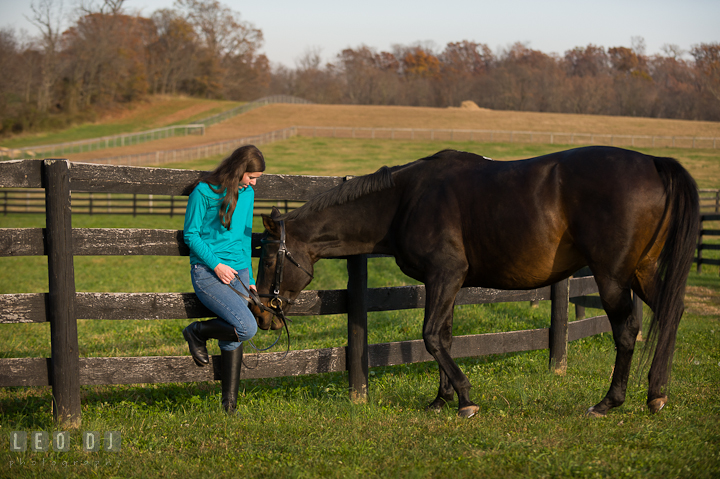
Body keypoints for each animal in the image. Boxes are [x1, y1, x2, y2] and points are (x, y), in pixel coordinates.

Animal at [249, 147, 696, 420]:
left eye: (268, 258)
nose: (261, 313)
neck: (405, 199)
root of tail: (653, 162)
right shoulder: (446, 281)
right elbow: (443, 336)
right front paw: (441, 398)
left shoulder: (446, 274)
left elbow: (431, 335)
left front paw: (464, 399)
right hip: (643, 271)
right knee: (671, 314)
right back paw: (656, 392)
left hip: (613, 276)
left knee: (628, 331)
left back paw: (610, 401)